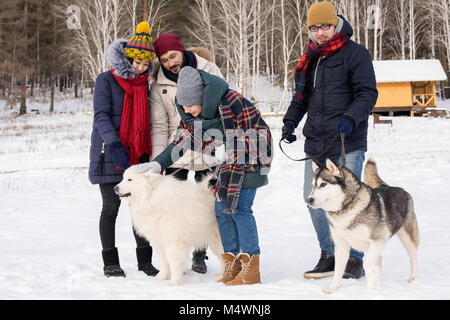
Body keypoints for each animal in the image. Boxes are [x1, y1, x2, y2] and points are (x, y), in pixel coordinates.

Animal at [306, 159, 418, 294]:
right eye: (313, 185)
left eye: (323, 184)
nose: (309, 200)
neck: (345, 208)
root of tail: (389, 186)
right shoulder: (341, 245)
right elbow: (338, 270)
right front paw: (332, 288)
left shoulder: (377, 240)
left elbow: (367, 264)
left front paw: (371, 288)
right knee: (380, 260)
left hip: (407, 236)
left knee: (413, 256)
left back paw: (413, 279)